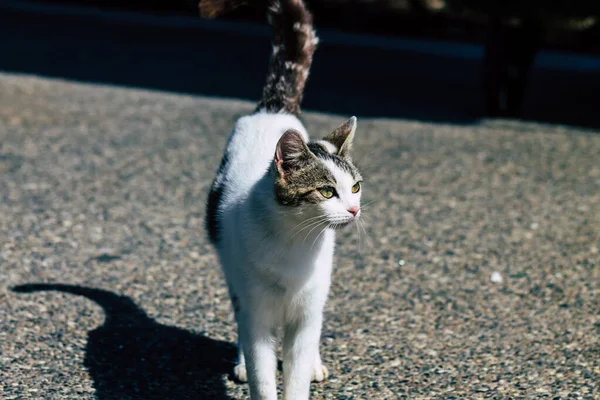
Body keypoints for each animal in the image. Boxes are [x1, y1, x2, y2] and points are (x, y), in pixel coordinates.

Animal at [202, 1, 364, 398]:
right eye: (327, 191)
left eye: (355, 187)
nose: (354, 209)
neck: (296, 241)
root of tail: (273, 109)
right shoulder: (256, 312)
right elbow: (261, 374)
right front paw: (251, 369)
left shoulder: (306, 313)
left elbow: (298, 370)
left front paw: (306, 371)